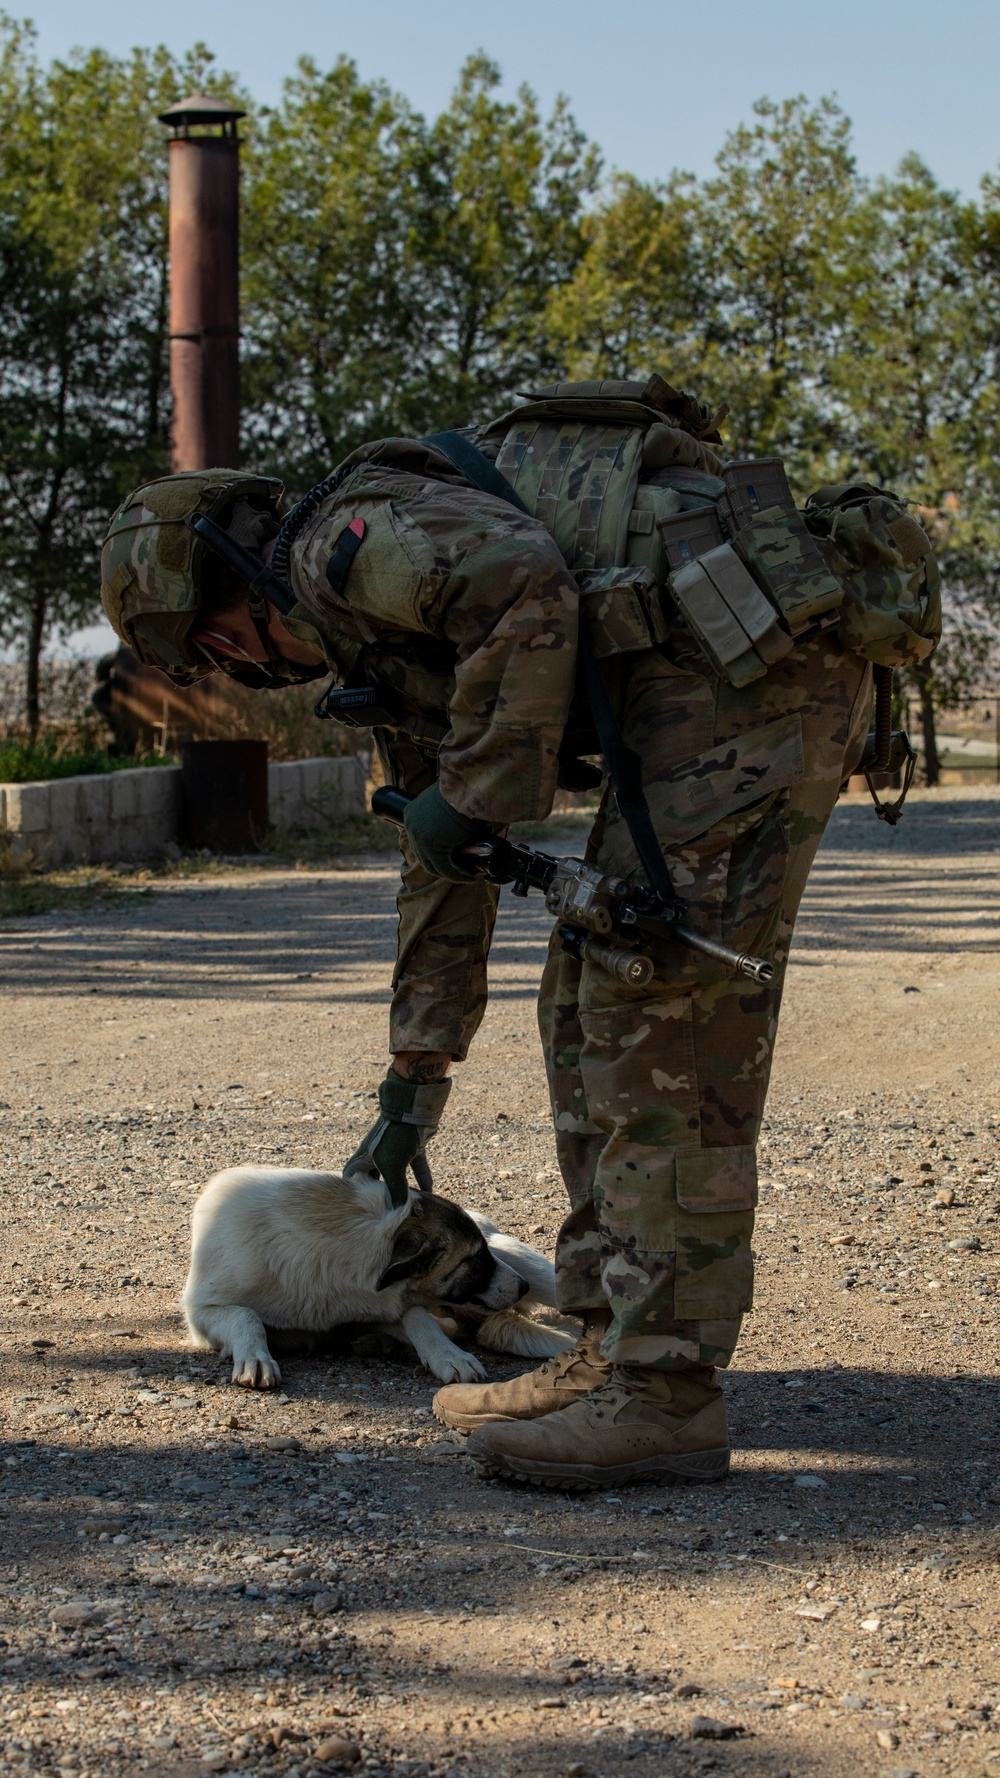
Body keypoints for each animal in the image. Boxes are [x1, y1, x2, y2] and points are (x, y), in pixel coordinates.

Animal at [180, 1166, 576, 1386]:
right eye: (474, 1258)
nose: (522, 1287)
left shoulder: (379, 1303)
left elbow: (417, 1317)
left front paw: (448, 1356)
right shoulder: (201, 1314)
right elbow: (246, 1315)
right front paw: (255, 1357)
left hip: (530, 1267)